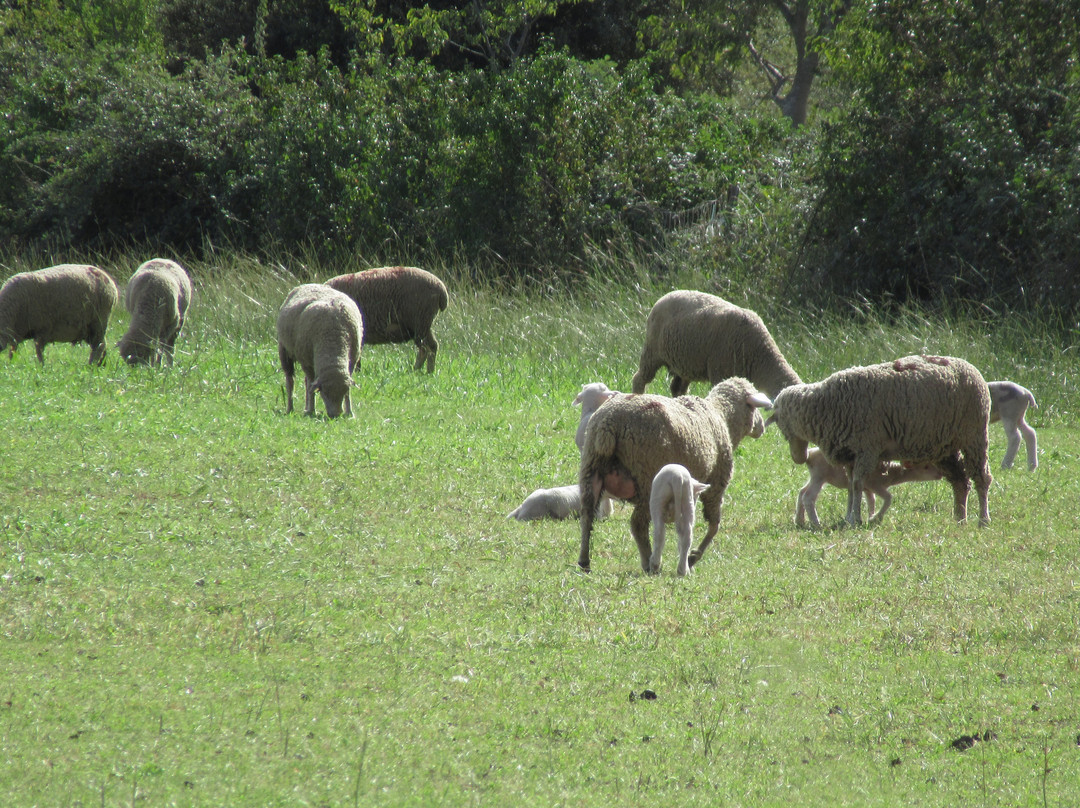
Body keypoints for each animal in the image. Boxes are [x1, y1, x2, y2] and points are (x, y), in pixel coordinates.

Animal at [276, 283, 365, 419]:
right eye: (324, 393)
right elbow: (310, 385)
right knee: (290, 380)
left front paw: (349, 413)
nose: (335, 415)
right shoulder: (306, 362)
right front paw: (312, 410)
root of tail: (309, 284)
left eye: (343, 391)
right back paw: (291, 408)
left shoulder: (352, 361)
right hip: (284, 350)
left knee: (306, 382)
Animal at [578, 378, 773, 574]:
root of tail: (609, 424)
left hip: (591, 467)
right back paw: (648, 562)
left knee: (587, 516)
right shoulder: (716, 482)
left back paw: (584, 561)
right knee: (638, 523)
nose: (761, 428)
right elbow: (714, 525)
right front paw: (693, 557)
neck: (722, 416)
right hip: (647, 478)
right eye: (753, 408)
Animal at [630, 293, 803, 401]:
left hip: (684, 362)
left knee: (677, 387)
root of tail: (664, 297)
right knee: (640, 378)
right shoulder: (719, 371)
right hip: (652, 352)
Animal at [794, 445, 946, 527]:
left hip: (815, 476)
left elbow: (871, 500)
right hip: (819, 476)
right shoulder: (875, 484)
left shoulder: (866, 488)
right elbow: (888, 498)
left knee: (801, 492)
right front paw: (876, 518)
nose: (940, 474)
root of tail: (809, 454)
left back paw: (799, 520)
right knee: (808, 497)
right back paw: (816, 523)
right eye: (926, 467)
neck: (890, 474)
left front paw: (870, 515)